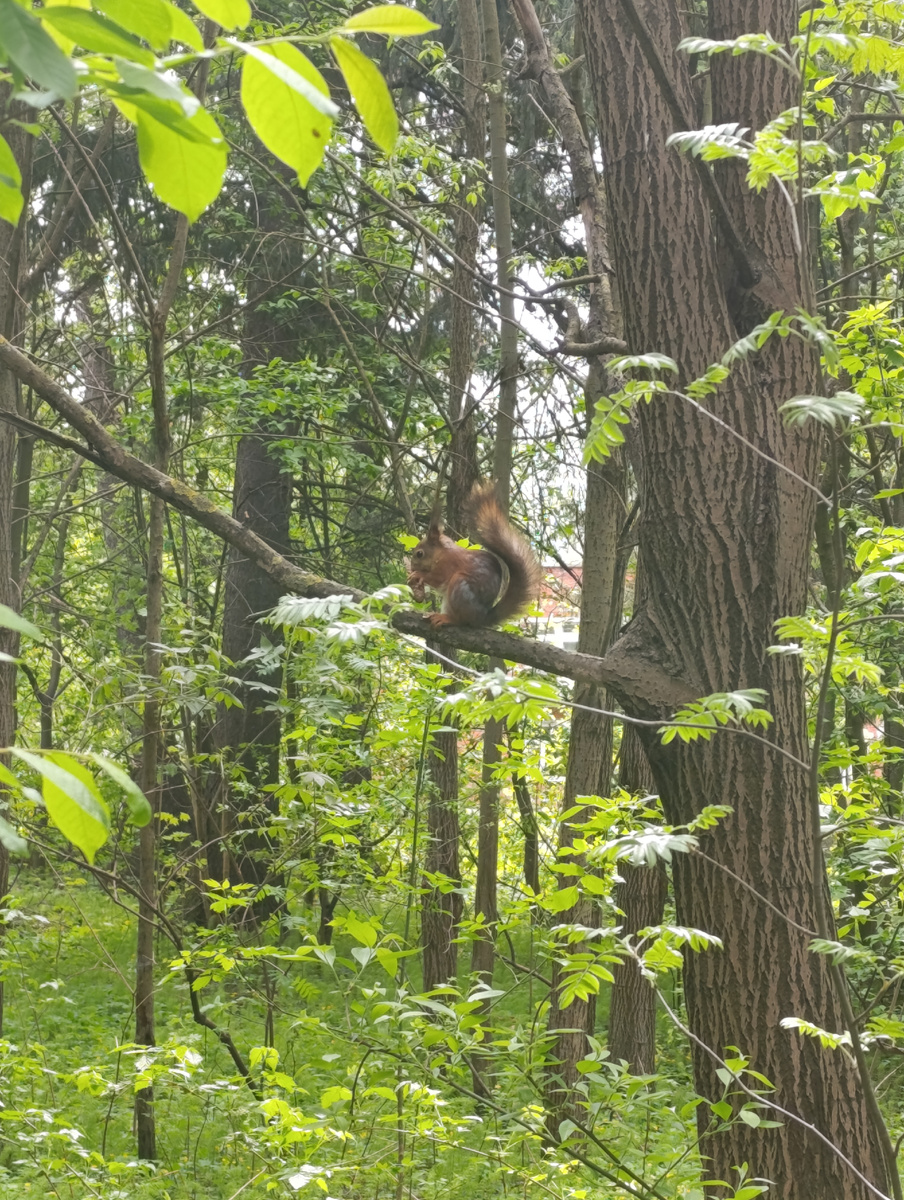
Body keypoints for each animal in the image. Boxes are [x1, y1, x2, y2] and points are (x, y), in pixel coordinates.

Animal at [407, 481, 541, 629]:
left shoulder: (447, 564)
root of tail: (482, 618)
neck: (441, 553)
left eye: (420, 554)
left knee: (462, 620)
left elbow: (437, 577)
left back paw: (448, 619)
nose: (412, 567)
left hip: (460, 586)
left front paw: (418, 575)